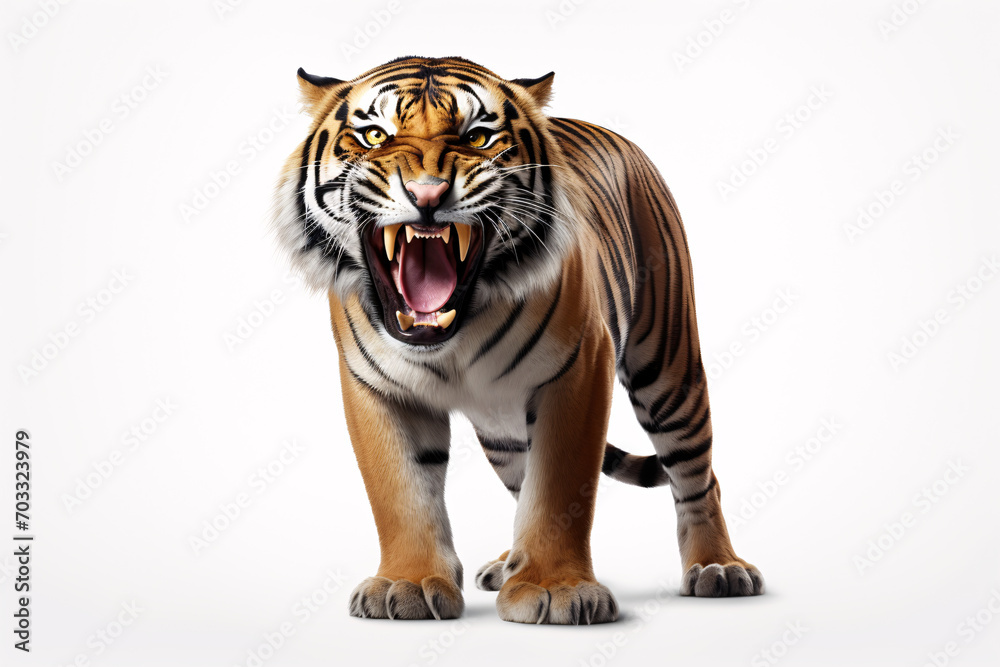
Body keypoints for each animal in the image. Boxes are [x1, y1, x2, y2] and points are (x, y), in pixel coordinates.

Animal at [270, 56, 764, 625]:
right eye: (375, 134)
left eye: (478, 137)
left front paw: (556, 589)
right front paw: (407, 584)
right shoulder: (376, 388)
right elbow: (400, 491)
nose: (427, 194)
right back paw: (507, 564)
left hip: (668, 365)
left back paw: (718, 567)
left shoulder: (578, 372)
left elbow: (556, 491)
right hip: (504, 429)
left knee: (697, 471)